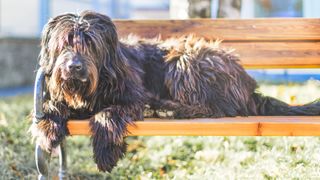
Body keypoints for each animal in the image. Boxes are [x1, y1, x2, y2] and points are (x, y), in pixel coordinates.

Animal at [30, 10, 320, 172]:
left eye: (90, 43)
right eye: (64, 44)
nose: (73, 67)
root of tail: (247, 82)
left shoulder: (133, 97)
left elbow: (109, 114)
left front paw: (105, 152)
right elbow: (51, 106)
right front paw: (47, 129)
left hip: (186, 59)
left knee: (215, 108)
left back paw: (167, 109)